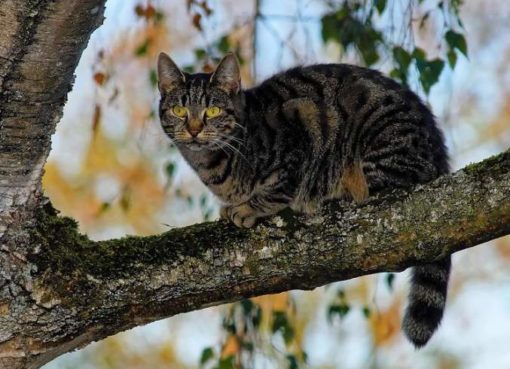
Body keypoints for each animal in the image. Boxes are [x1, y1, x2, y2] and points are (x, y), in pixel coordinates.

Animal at [156, 52, 450, 348]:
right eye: (179, 111)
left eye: (213, 111)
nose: (194, 130)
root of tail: (440, 156)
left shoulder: (298, 126)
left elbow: (278, 186)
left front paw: (248, 207)